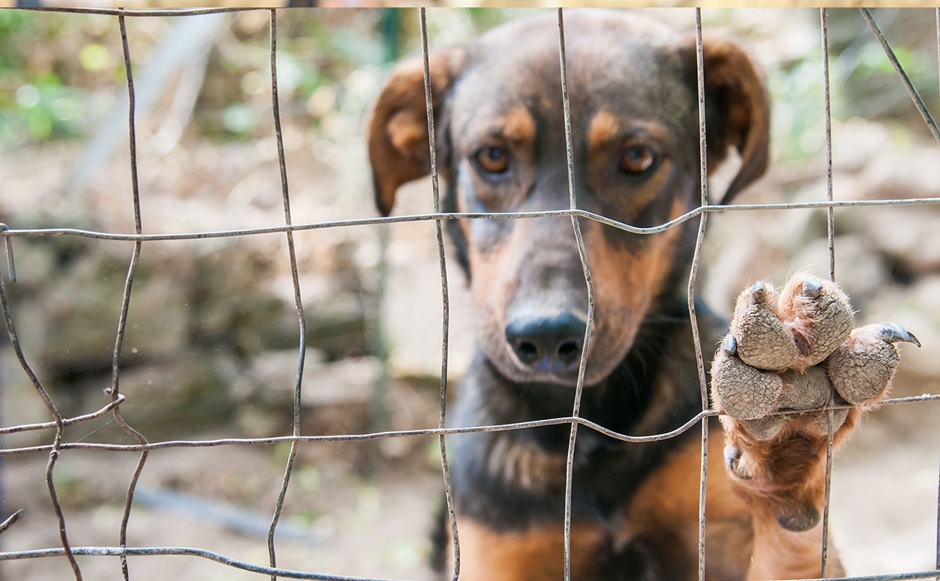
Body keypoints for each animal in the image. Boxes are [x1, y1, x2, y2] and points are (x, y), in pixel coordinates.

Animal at [368, 10, 916, 580]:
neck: (592, 422)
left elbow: (789, 543)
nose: (547, 339)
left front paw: (793, 419)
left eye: (637, 158)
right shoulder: (500, 550)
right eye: (492, 156)